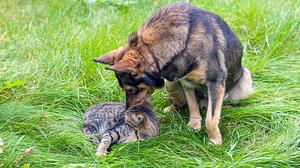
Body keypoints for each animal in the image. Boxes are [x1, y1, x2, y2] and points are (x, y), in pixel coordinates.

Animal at [94, 2, 253, 144]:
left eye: (130, 90)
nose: (126, 113)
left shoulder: (215, 82)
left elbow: (210, 119)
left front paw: (214, 141)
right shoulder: (185, 82)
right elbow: (192, 105)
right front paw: (194, 125)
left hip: (245, 78)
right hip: (171, 84)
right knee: (181, 102)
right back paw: (171, 108)